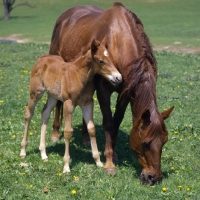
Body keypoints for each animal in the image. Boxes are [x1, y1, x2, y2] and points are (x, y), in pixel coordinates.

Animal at [19, 38, 122, 172]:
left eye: (111, 59)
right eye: (101, 61)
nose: (118, 78)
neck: (79, 75)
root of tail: (42, 58)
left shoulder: (88, 103)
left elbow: (91, 129)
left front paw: (98, 161)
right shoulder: (68, 104)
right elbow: (68, 132)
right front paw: (66, 166)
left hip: (53, 96)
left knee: (45, 113)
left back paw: (43, 154)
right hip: (35, 93)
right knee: (28, 114)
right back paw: (23, 151)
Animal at [48, 2, 173, 185]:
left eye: (164, 142)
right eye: (145, 143)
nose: (153, 177)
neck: (118, 42)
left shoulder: (125, 93)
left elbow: (117, 122)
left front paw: (113, 154)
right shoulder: (103, 90)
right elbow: (108, 122)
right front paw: (108, 164)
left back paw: (86, 138)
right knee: (57, 102)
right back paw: (55, 134)